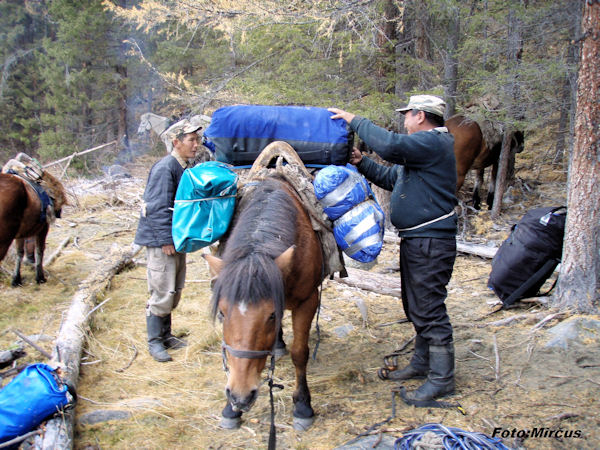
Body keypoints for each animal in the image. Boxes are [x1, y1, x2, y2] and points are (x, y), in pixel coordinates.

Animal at [204, 174, 324, 430]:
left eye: (271, 315)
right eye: (221, 313)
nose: (240, 396)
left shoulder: (308, 301)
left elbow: (300, 352)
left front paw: (302, 406)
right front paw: (230, 410)